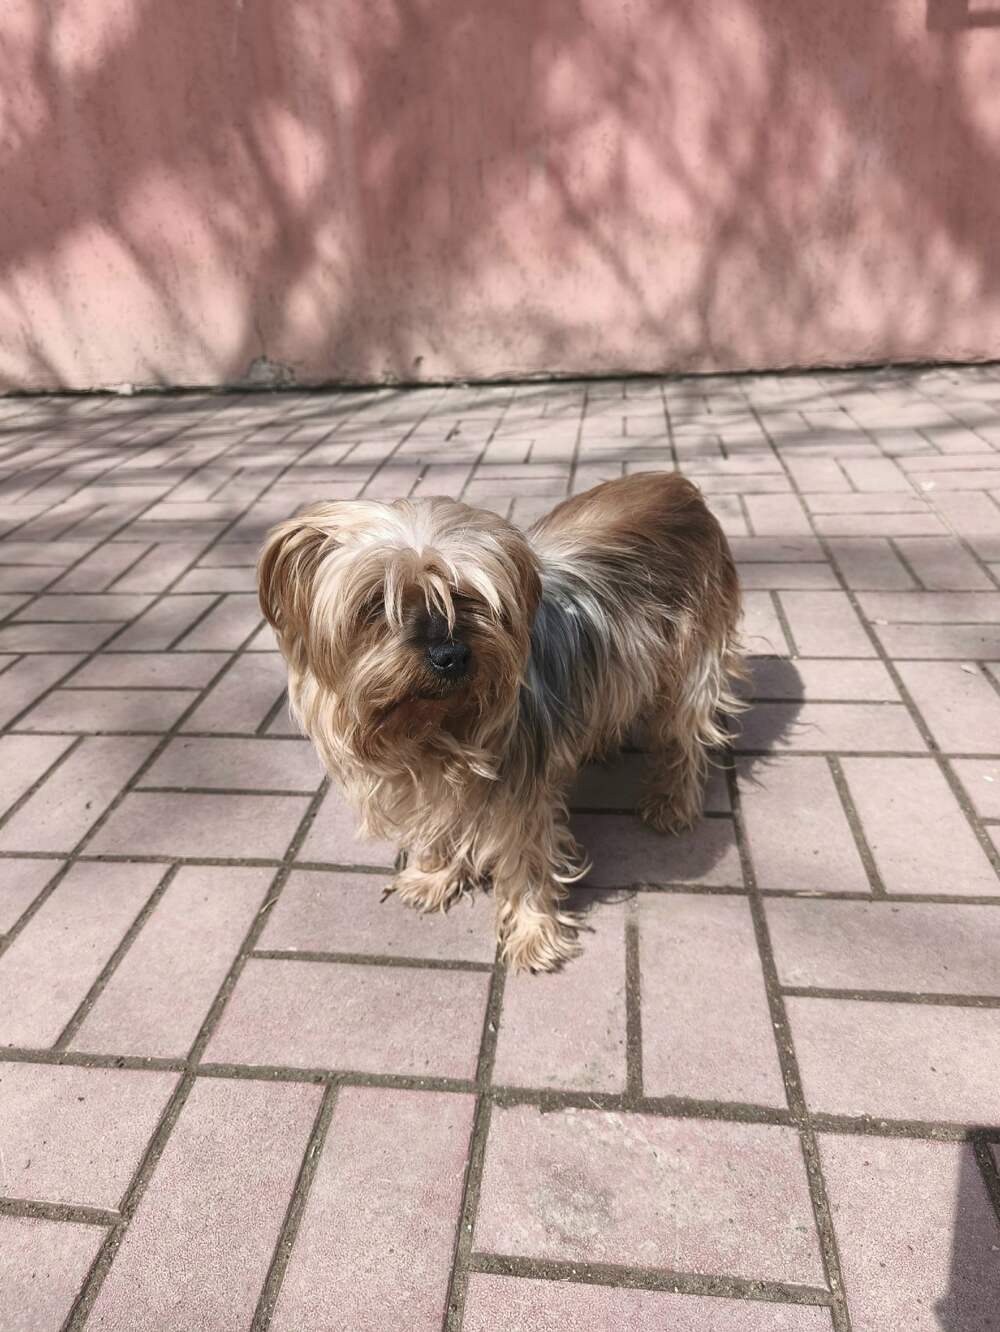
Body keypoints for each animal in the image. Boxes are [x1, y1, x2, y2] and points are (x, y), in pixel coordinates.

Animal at [258, 471, 744, 971]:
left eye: (467, 597)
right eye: (376, 603)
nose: (450, 656)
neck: (437, 726)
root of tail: (678, 484)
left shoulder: (521, 792)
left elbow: (527, 857)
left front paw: (534, 933)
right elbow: (442, 825)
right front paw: (435, 875)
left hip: (695, 653)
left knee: (687, 734)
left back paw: (673, 800)